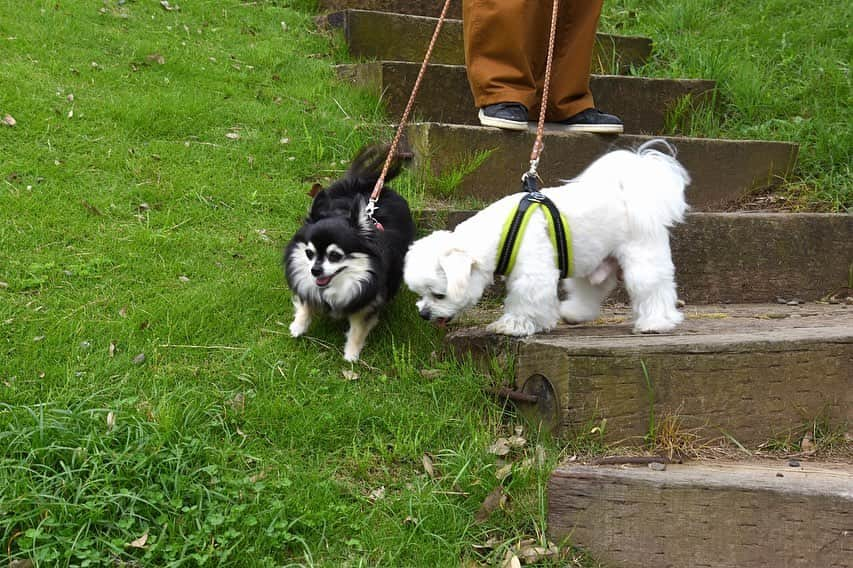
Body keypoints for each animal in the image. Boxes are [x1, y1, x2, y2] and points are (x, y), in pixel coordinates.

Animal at [402, 140, 688, 336]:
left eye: (439, 295)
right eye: (421, 294)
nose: (424, 314)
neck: (503, 231)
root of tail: (630, 191)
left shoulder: (532, 273)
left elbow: (525, 299)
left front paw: (513, 325)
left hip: (642, 257)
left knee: (652, 288)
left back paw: (656, 322)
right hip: (591, 260)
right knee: (589, 289)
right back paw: (575, 313)